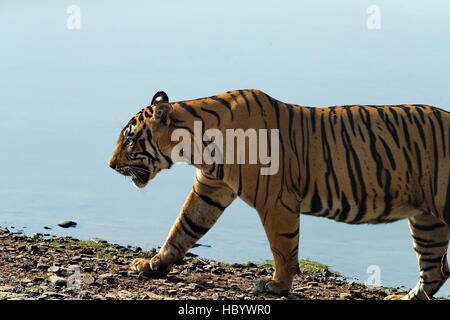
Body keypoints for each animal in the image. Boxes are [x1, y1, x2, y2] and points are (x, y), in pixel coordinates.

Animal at [109, 89, 450, 298]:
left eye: (130, 140)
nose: (110, 165)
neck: (197, 146)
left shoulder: (276, 203)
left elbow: (283, 248)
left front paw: (276, 286)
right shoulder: (210, 189)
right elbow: (182, 227)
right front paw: (153, 264)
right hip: (426, 221)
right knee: (435, 270)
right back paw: (404, 298)